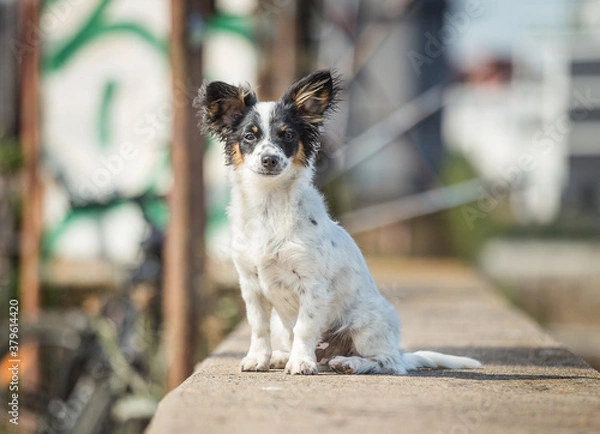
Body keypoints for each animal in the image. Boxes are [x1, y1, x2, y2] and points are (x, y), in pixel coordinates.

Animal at [197, 69, 482, 374]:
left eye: (288, 136)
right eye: (249, 136)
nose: (269, 159)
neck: (269, 206)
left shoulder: (312, 284)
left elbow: (304, 328)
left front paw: (301, 362)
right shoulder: (251, 285)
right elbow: (258, 327)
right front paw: (259, 358)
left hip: (368, 323)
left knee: (388, 362)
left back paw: (348, 363)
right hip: (284, 323)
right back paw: (282, 356)